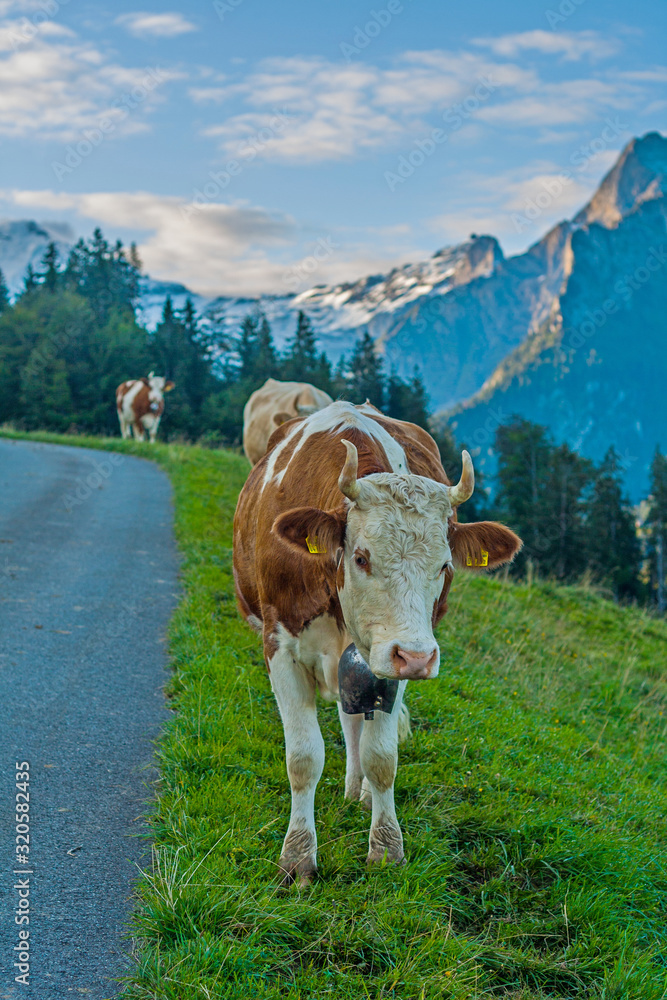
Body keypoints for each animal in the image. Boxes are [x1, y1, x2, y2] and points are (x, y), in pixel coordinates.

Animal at [235, 398, 520, 884]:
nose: (419, 658)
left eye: (445, 565)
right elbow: (303, 759)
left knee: (358, 722)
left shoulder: (394, 658)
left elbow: (382, 757)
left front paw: (386, 847)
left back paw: (361, 791)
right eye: (361, 557)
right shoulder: (281, 648)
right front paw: (298, 858)